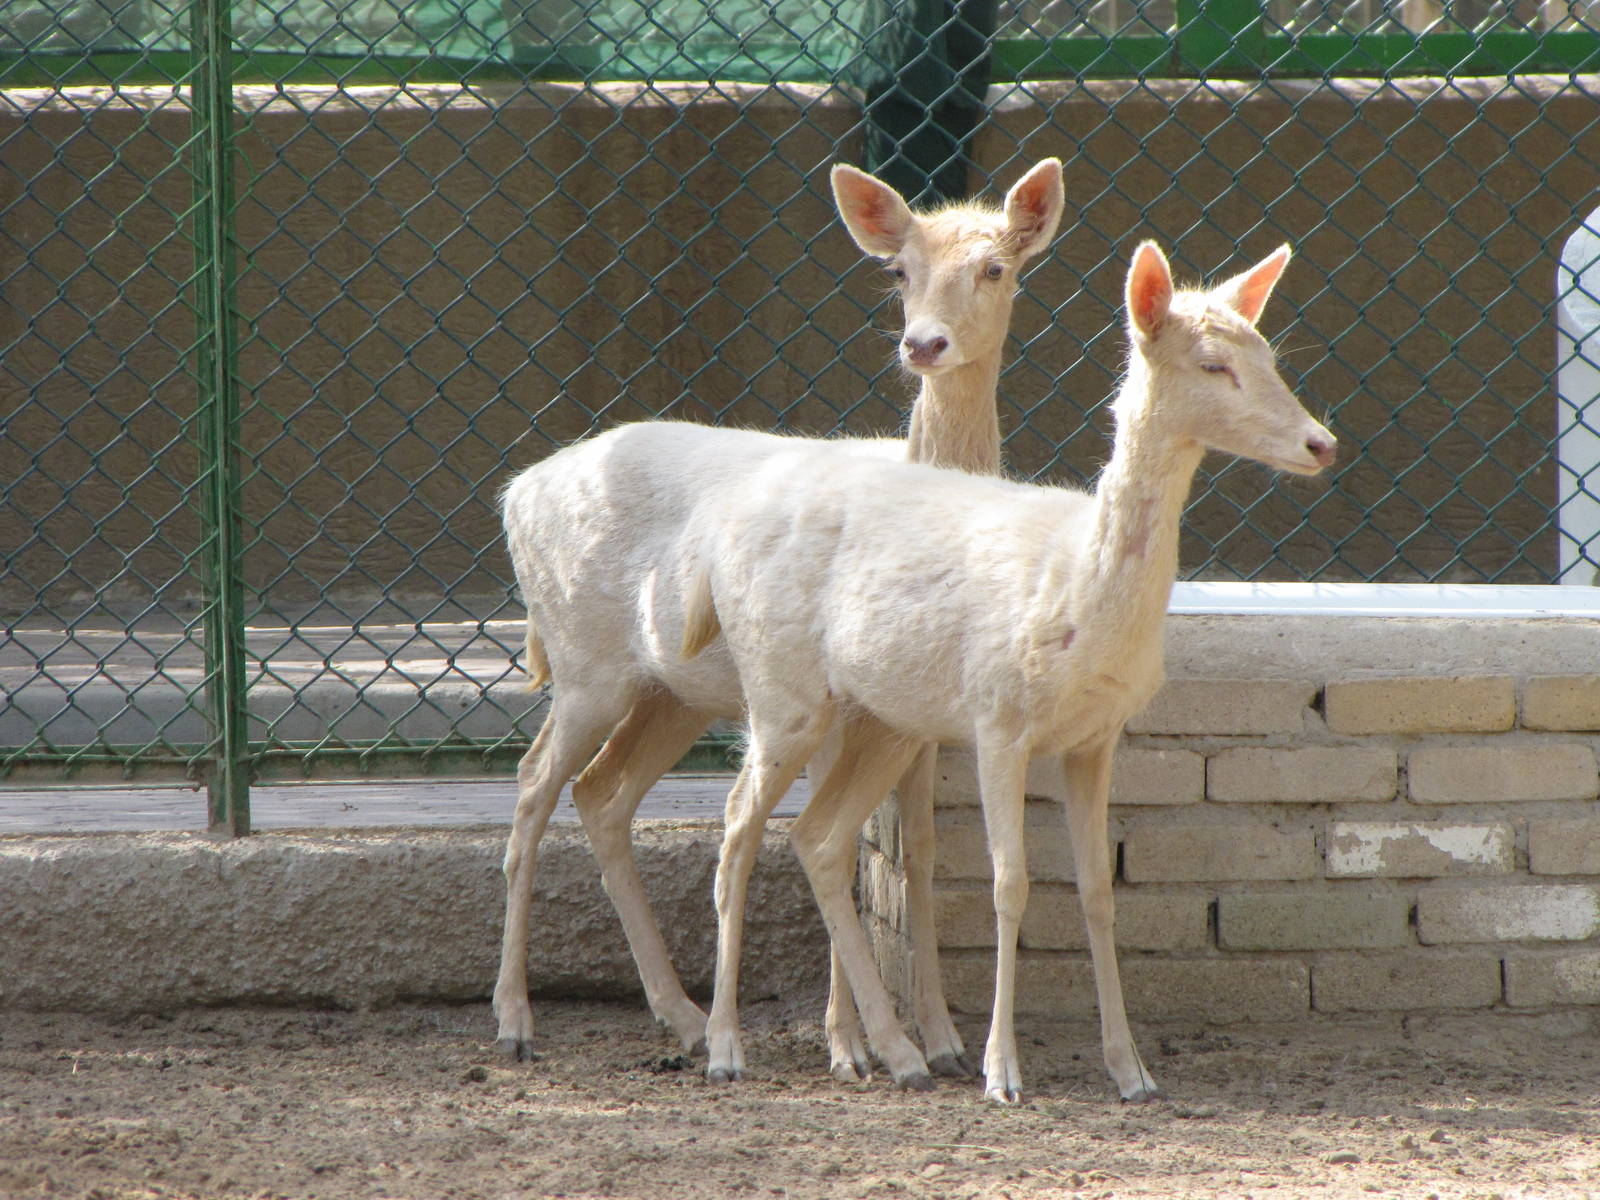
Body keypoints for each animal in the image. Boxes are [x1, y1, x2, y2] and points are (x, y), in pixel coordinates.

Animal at [492, 159, 1066, 1082]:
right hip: (586, 663)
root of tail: (516, 493)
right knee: (535, 781)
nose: (924, 344)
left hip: (672, 692)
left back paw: (686, 1020)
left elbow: (916, 853)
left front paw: (937, 1037)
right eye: (897, 271)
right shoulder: (848, 708)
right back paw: (517, 1021)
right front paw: (850, 1046)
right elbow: (839, 846)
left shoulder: (917, 722)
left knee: (602, 794)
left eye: (995, 267)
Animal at [677, 241, 1337, 1102]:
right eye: (1213, 363)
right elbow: (1009, 883)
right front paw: (1003, 1071)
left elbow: (1097, 890)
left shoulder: (1096, 737)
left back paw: (897, 1054)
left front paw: (1131, 1070)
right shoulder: (998, 719)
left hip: (882, 718)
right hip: (780, 689)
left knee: (819, 837)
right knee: (736, 827)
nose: (1321, 443)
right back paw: (725, 1045)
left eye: (1270, 357)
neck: (1080, 598)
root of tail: (714, 535)